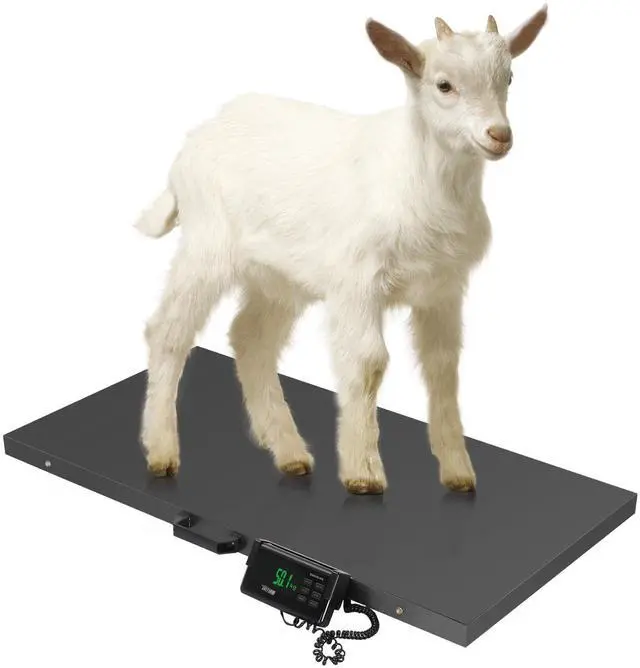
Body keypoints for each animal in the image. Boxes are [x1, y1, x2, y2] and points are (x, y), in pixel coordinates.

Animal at [136, 7, 548, 495]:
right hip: (207, 244)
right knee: (168, 331)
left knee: (250, 337)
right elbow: (369, 361)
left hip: (280, 276)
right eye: (444, 85)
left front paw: (458, 472)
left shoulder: (443, 288)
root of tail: (192, 144)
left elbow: (443, 367)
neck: (417, 176)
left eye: (509, 77)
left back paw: (290, 453)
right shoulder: (358, 281)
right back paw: (162, 451)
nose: (499, 135)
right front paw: (363, 473)